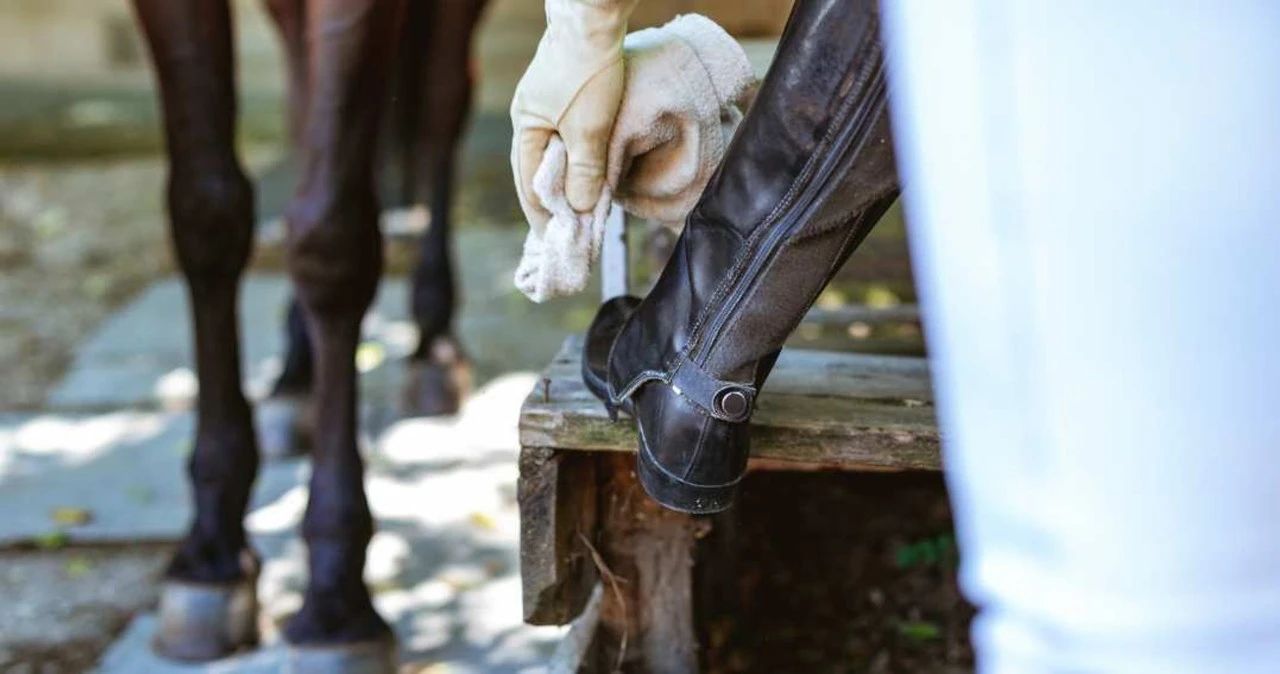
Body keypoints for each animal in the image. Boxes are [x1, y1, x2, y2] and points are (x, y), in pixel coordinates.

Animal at [131, 0, 486, 666]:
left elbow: (331, 238)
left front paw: (335, 597)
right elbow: (206, 213)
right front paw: (211, 553)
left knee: (442, 105)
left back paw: (432, 344)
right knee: (309, 125)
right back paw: (295, 377)